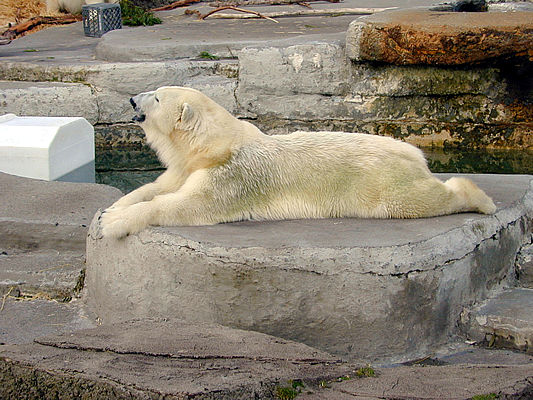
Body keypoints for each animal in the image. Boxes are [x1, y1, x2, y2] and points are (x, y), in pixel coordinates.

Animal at [98, 86, 494, 238]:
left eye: (157, 97)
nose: (132, 99)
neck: (213, 146)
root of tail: (414, 151)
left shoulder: (232, 175)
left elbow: (188, 204)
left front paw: (114, 222)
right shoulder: (187, 165)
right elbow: (159, 186)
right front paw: (111, 208)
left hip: (381, 184)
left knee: (416, 200)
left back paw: (482, 200)